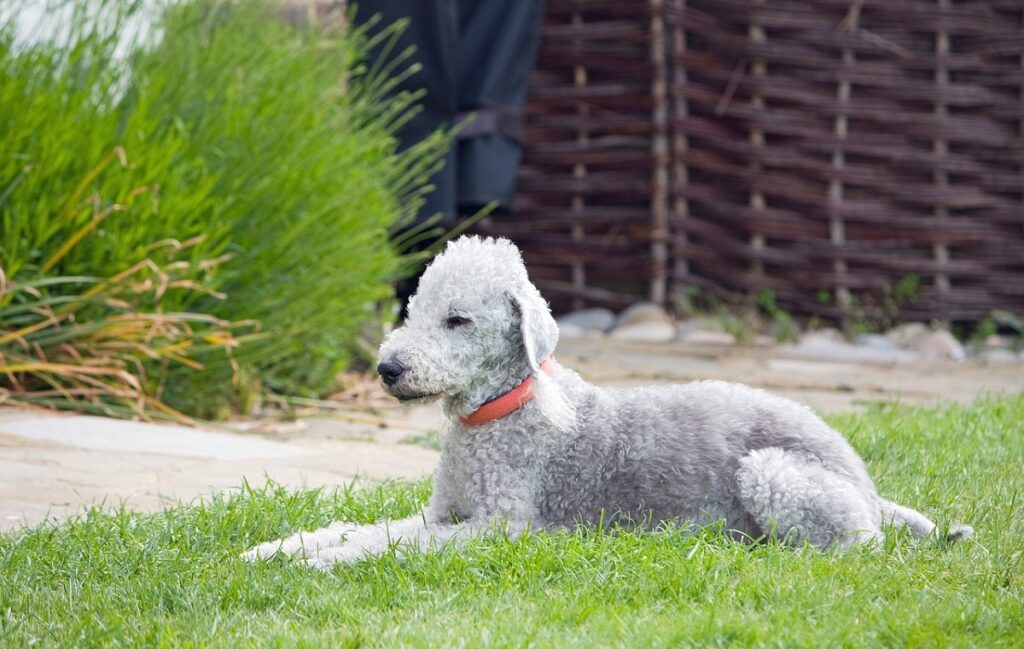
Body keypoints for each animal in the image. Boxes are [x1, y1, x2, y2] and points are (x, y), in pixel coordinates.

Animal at [243, 236, 970, 565]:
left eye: (458, 320)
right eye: (412, 310)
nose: (388, 368)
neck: (496, 413)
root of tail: (863, 479)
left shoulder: (502, 528)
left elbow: (390, 545)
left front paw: (320, 562)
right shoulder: (441, 513)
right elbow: (366, 528)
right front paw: (276, 549)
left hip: (775, 474)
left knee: (858, 545)